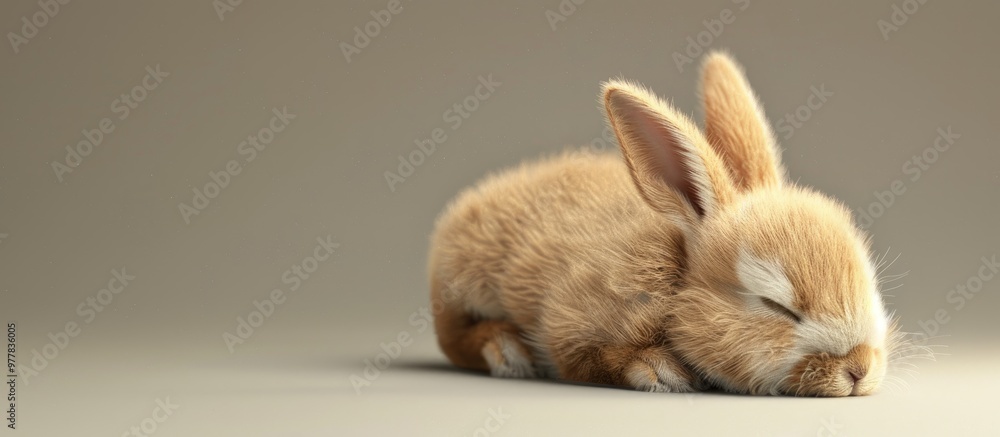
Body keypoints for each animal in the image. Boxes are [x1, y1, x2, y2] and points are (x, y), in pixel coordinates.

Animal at [426, 51, 904, 396]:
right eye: (776, 306)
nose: (860, 370)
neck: (677, 283)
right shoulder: (571, 323)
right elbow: (588, 358)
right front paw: (660, 371)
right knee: (454, 339)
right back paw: (508, 353)